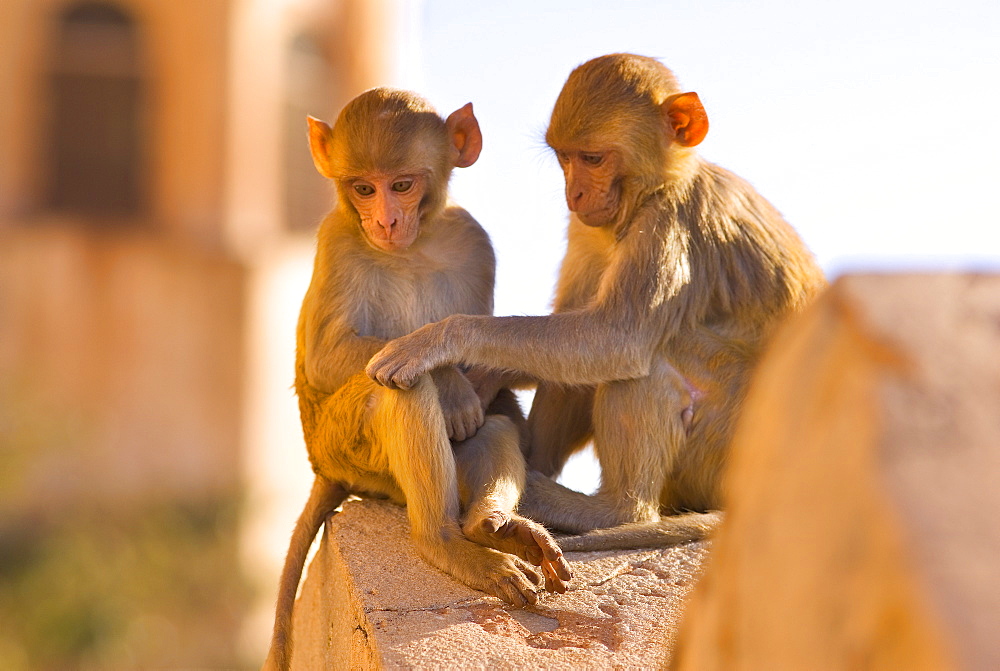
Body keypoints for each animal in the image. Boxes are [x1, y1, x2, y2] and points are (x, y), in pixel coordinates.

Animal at [264, 89, 572, 671]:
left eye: (402, 185)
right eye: (363, 188)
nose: (385, 221)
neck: (411, 247)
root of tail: (323, 467)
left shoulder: (474, 243)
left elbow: (486, 372)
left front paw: (460, 372)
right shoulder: (337, 238)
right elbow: (326, 359)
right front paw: (446, 377)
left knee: (494, 422)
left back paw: (491, 526)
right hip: (349, 450)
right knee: (401, 389)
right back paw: (443, 540)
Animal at [368, 55, 828, 552]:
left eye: (592, 158)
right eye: (564, 158)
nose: (575, 194)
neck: (657, 188)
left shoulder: (671, 224)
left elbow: (616, 339)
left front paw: (436, 340)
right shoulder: (588, 226)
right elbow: (571, 327)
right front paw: (482, 378)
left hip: (727, 446)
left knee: (649, 356)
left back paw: (605, 509)